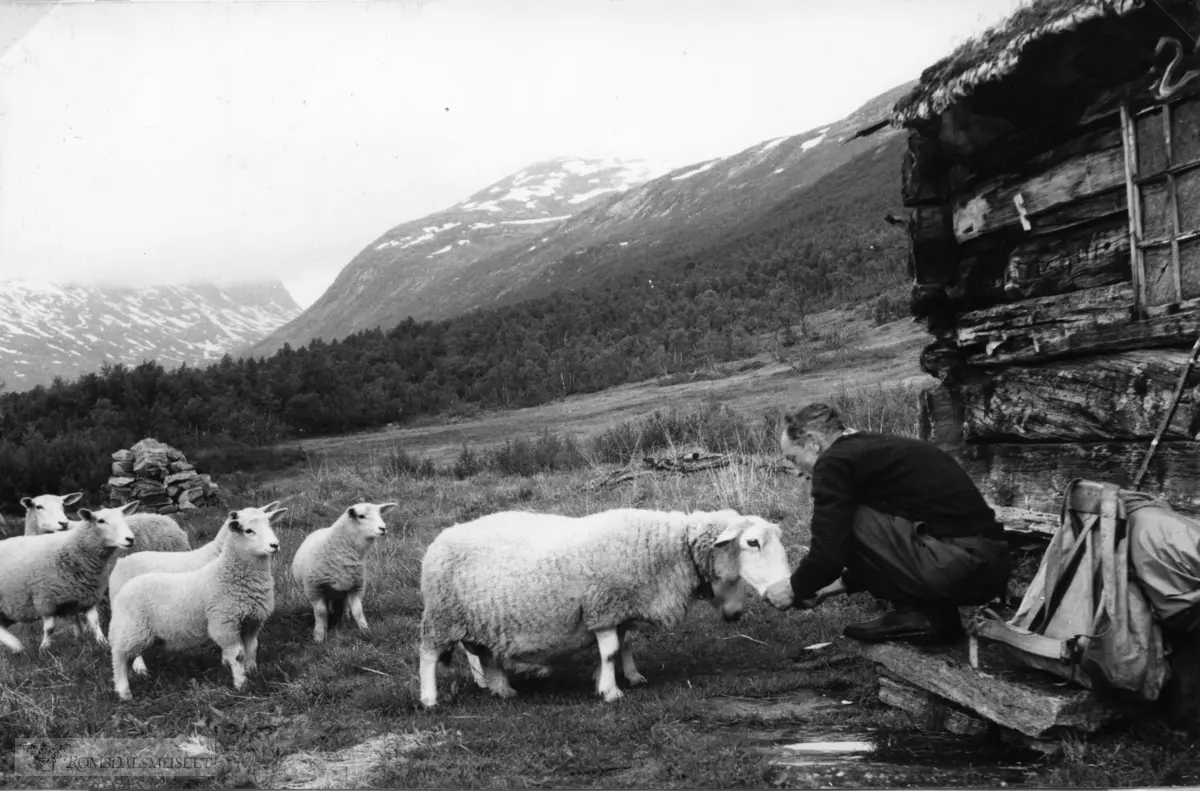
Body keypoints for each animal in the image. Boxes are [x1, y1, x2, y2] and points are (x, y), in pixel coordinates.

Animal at [0, 506, 137, 657]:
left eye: (123, 518)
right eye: (101, 521)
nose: (130, 539)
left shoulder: (87, 596)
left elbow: (94, 622)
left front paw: (102, 642)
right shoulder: (46, 600)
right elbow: (50, 628)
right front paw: (44, 648)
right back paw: (16, 645)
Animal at [107, 504, 285, 700]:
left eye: (269, 524)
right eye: (248, 531)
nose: (274, 545)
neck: (226, 573)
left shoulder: (253, 621)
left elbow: (252, 648)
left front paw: (252, 673)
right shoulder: (224, 623)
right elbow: (237, 655)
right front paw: (241, 685)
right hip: (132, 628)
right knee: (119, 657)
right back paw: (124, 690)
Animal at [289, 501, 398, 643]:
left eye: (380, 514)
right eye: (361, 516)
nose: (383, 528)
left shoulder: (356, 587)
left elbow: (358, 611)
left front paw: (366, 631)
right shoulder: (314, 588)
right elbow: (320, 612)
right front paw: (319, 636)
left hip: (343, 590)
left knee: (344, 605)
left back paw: (344, 619)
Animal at [417, 511, 792, 710]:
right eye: (752, 543)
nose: (736, 616)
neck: (669, 550)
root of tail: (439, 540)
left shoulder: (622, 608)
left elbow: (624, 645)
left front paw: (630, 676)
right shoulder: (604, 606)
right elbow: (610, 650)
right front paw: (610, 690)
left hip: (484, 619)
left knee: (488, 655)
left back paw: (502, 689)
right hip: (442, 615)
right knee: (429, 655)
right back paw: (430, 699)